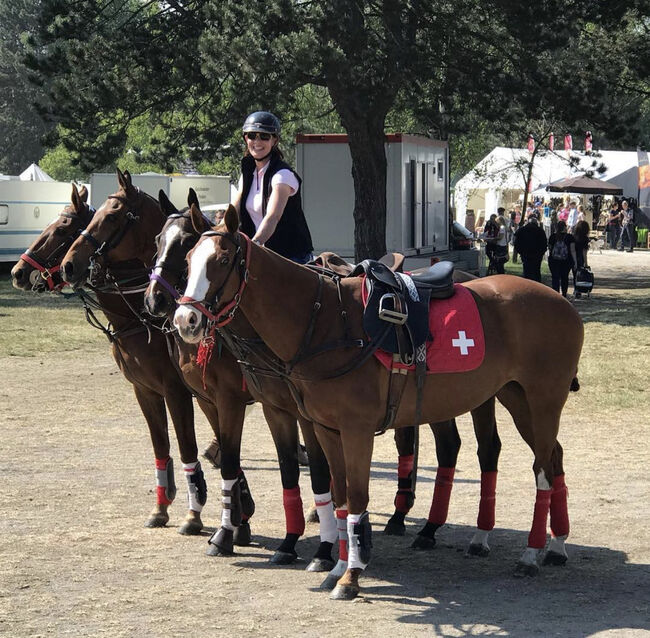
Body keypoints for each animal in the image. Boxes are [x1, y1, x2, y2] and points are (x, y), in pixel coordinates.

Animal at [10, 184, 218, 536]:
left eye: (63, 229)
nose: (17, 272)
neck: (141, 317)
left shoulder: (177, 391)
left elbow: (186, 445)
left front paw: (193, 514)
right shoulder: (145, 390)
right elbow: (161, 447)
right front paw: (161, 508)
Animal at [173, 208, 584, 604]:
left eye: (223, 260)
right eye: (189, 259)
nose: (184, 319)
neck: (324, 321)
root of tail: (563, 303)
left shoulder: (355, 430)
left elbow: (355, 497)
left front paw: (350, 577)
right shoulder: (325, 428)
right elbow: (338, 496)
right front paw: (338, 565)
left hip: (543, 402)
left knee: (542, 469)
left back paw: (531, 553)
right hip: (514, 398)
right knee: (554, 458)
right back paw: (554, 545)